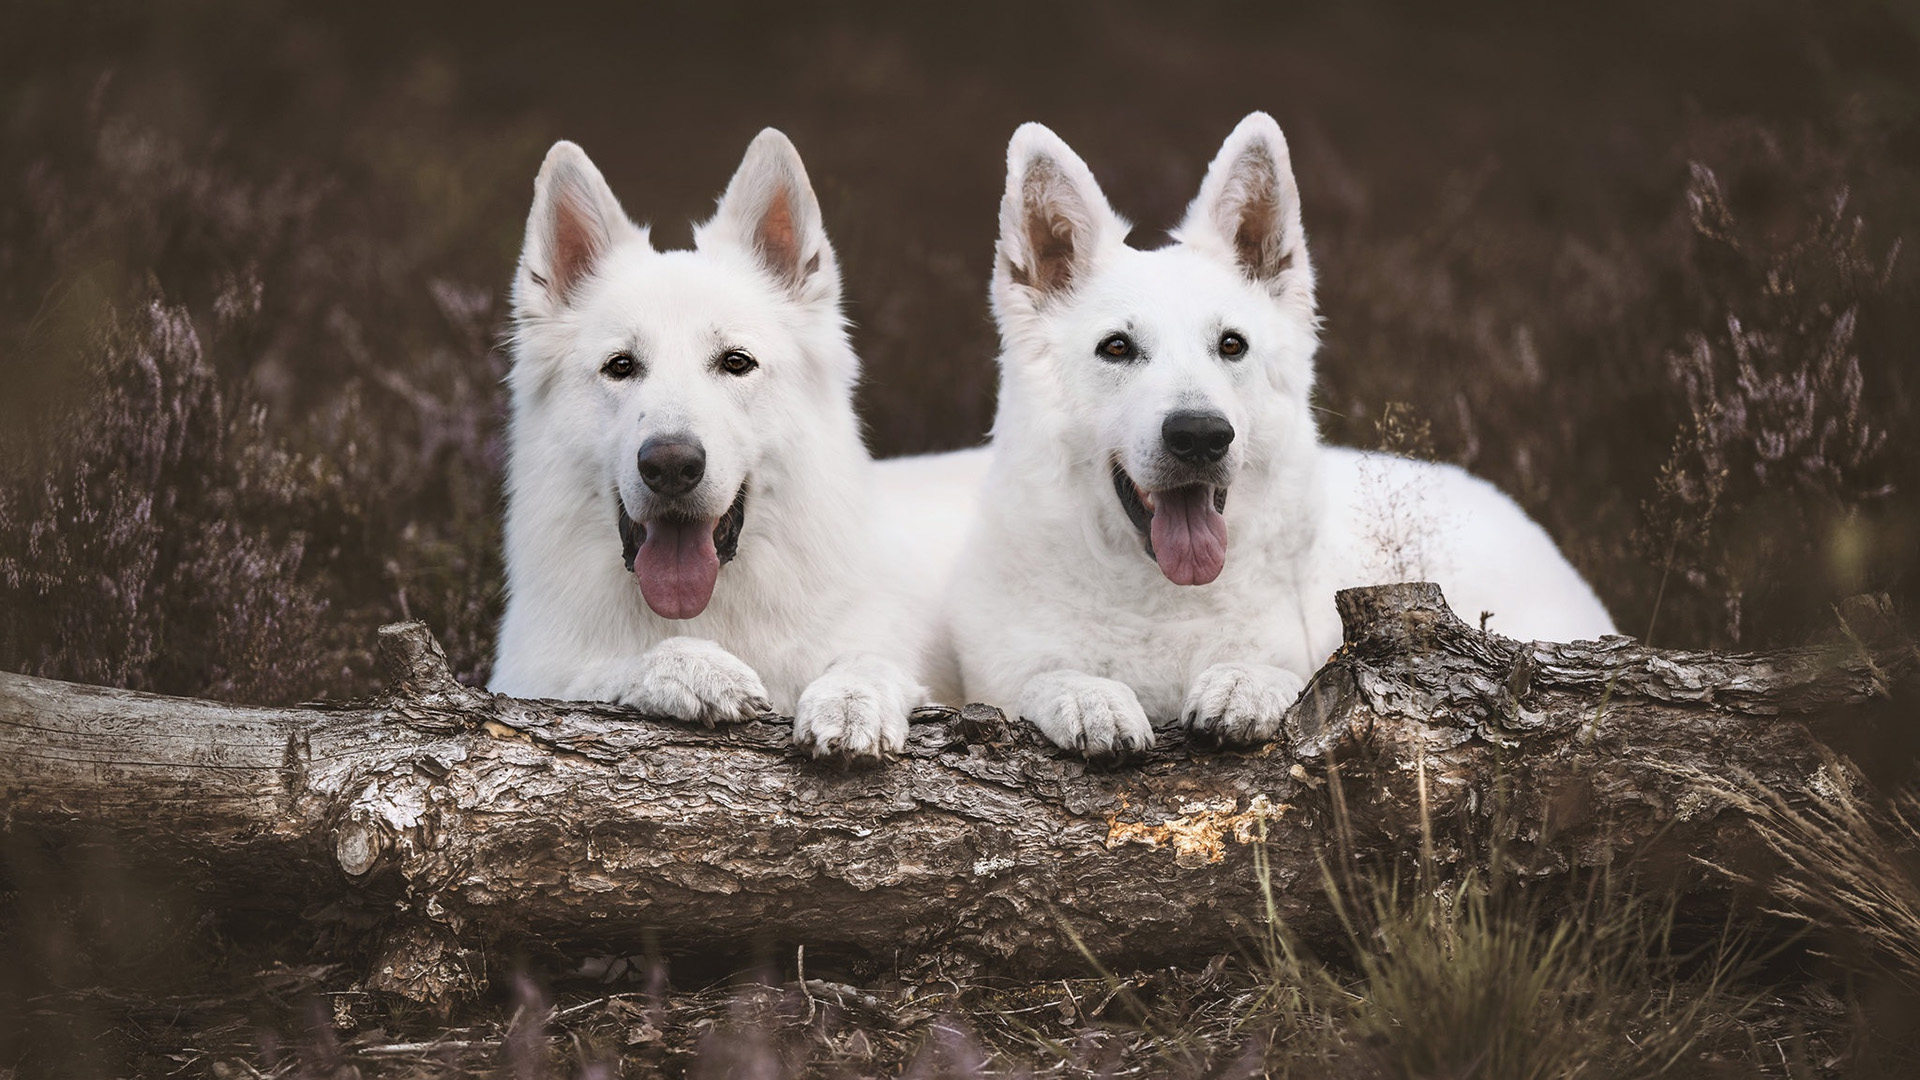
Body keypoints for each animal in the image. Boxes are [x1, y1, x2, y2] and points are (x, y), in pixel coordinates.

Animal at [487, 130, 983, 760]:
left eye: (736, 363)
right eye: (620, 366)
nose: (671, 465)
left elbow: (870, 659)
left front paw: (850, 699)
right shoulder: (528, 676)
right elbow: (595, 670)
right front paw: (690, 669)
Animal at [952, 113, 1612, 753]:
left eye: (1231, 345)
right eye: (1116, 347)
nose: (1200, 436)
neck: (1166, 601)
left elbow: (1300, 672)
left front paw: (1245, 682)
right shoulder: (996, 675)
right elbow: (1035, 679)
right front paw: (1086, 694)